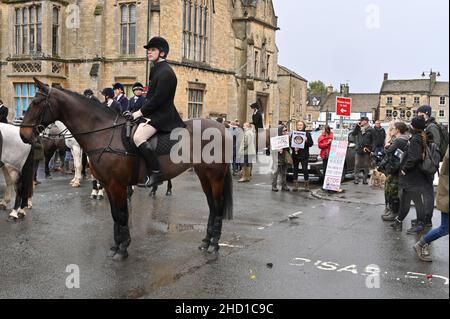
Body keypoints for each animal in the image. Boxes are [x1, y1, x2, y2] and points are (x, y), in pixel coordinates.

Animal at [20, 77, 232, 260]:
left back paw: (214, 244)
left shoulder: (117, 184)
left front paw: (122, 248)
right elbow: (115, 214)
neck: (103, 133)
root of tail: (222, 128)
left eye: (36, 102)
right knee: (212, 205)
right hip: (204, 175)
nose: (23, 135)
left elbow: (121, 214)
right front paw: (116, 246)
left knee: (218, 205)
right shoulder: (109, 184)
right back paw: (206, 241)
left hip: (215, 176)